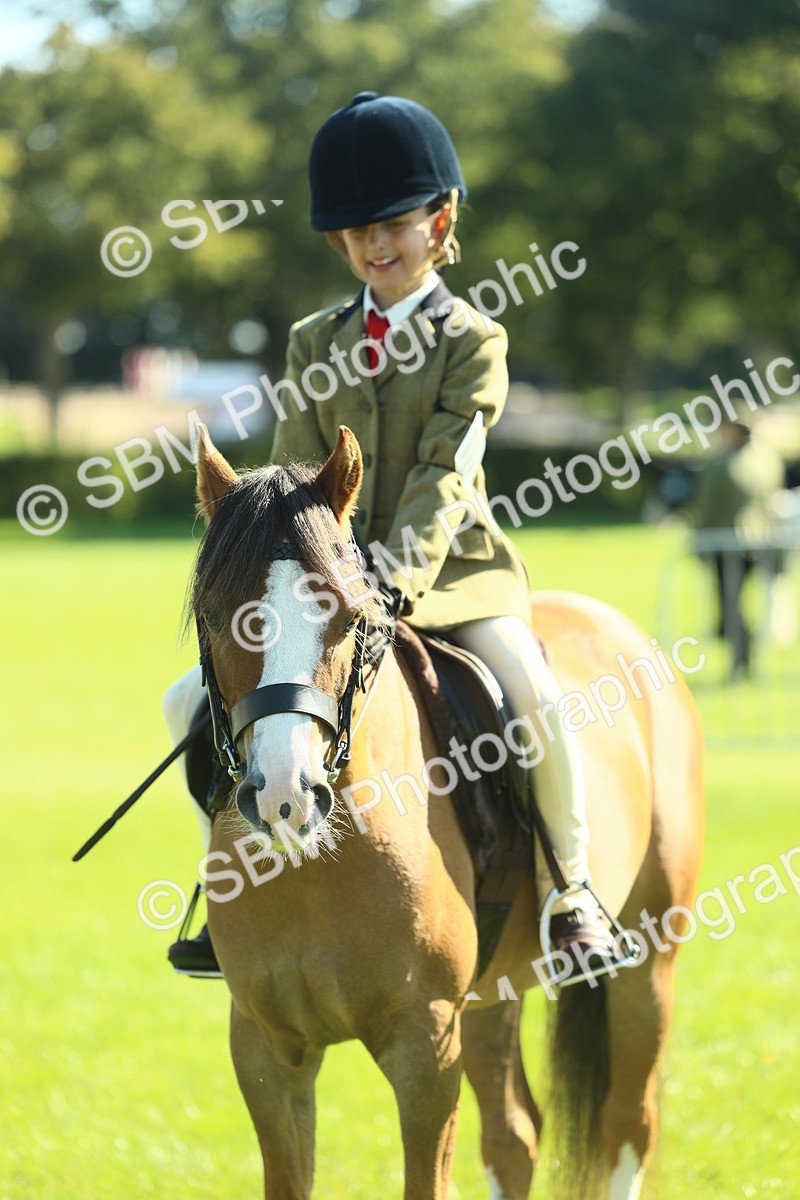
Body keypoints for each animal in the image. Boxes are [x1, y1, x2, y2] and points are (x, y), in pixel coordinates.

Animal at [186, 422, 704, 1200]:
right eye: (215, 617)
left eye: (347, 617)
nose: (284, 796)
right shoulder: (266, 1048)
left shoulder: (425, 1046)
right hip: (495, 993)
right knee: (516, 1135)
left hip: (648, 969)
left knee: (627, 1126)